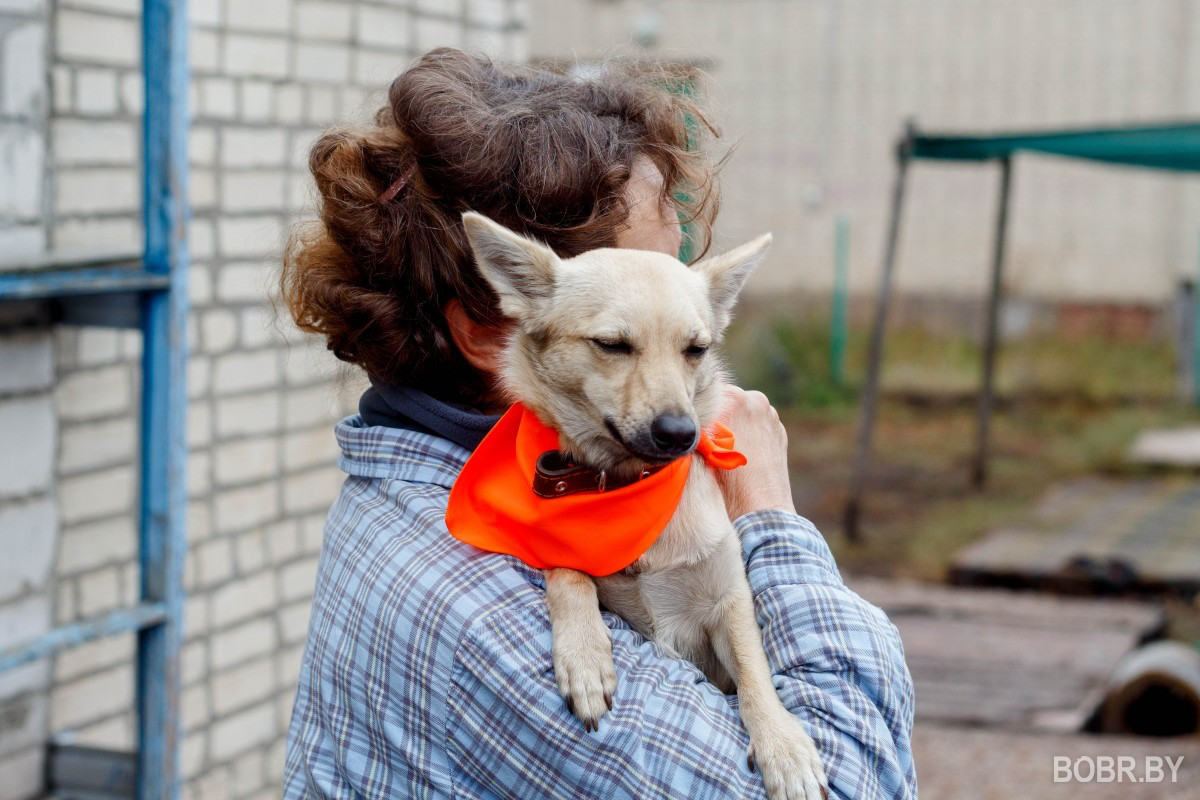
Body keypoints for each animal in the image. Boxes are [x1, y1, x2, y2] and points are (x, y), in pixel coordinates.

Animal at [463, 212, 830, 800]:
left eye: (696, 349)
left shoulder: (728, 602)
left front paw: (783, 746)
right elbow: (567, 569)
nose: (680, 433)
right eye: (612, 345)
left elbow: (754, 672)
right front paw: (585, 654)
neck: (630, 486)